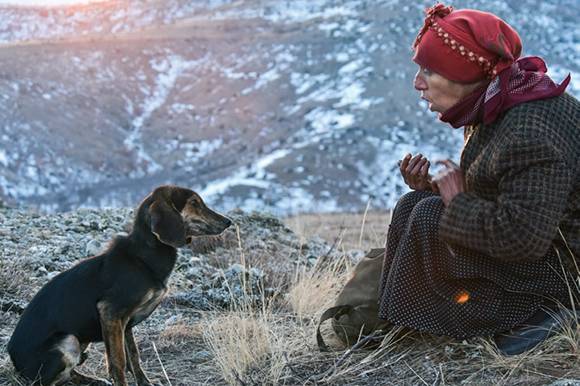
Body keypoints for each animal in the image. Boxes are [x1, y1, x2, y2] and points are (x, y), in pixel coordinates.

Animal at [7, 185, 231, 384]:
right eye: (194, 202)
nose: (228, 222)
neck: (143, 256)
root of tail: (14, 361)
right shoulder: (110, 312)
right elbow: (118, 362)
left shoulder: (125, 323)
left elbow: (133, 355)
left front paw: (145, 382)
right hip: (68, 342)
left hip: (82, 341)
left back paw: (93, 380)